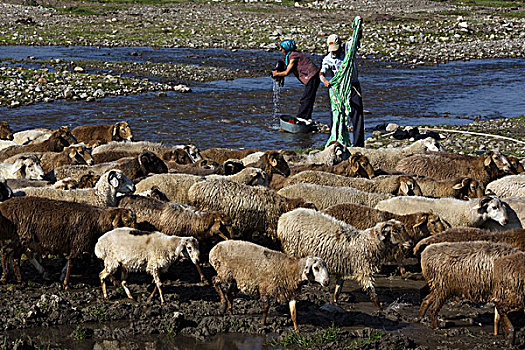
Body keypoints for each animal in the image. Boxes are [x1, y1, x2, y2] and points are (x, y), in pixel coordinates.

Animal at [0, 197, 135, 288]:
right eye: (127, 220)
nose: (135, 233)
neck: (98, 222)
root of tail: (4, 207)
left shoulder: (91, 246)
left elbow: (102, 264)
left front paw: (114, 281)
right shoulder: (78, 244)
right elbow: (71, 263)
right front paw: (66, 284)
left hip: (20, 241)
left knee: (14, 258)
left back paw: (20, 281)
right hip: (21, 238)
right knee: (5, 252)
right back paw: (6, 277)